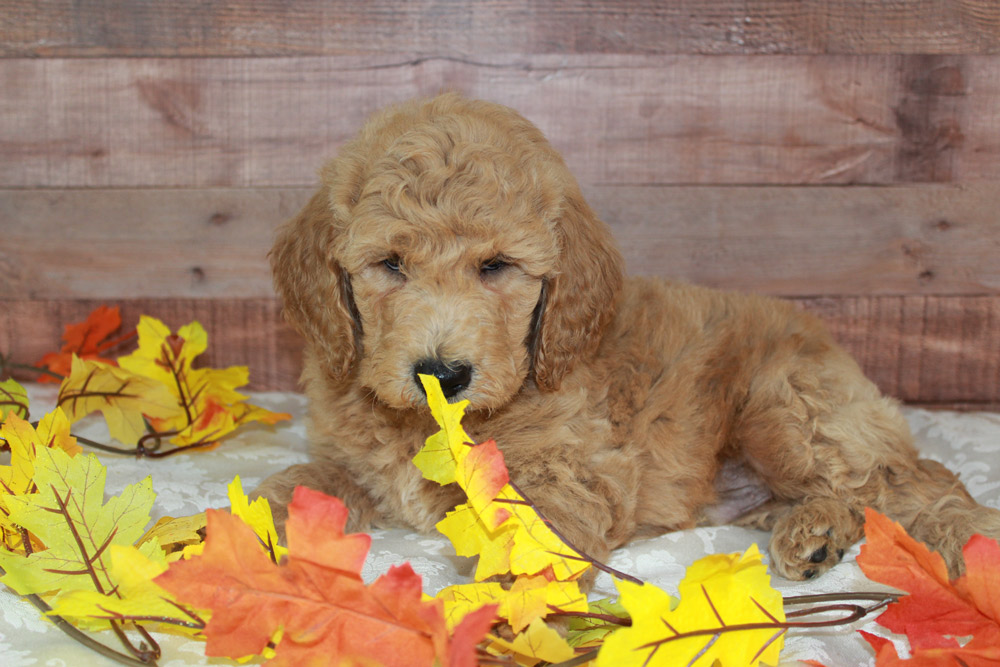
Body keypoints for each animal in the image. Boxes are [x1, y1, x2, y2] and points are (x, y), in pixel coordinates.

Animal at [254, 93, 1000, 581]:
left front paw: (508, 612)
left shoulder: (569, 469)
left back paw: (961, 541)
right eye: (390, 264)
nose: (442, 374)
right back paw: (812, 532)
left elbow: (534, 537)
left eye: (496, 266)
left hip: (789, 410)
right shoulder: (350, 459)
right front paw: (249, 527)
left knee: (914, 481)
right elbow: (306, 485)